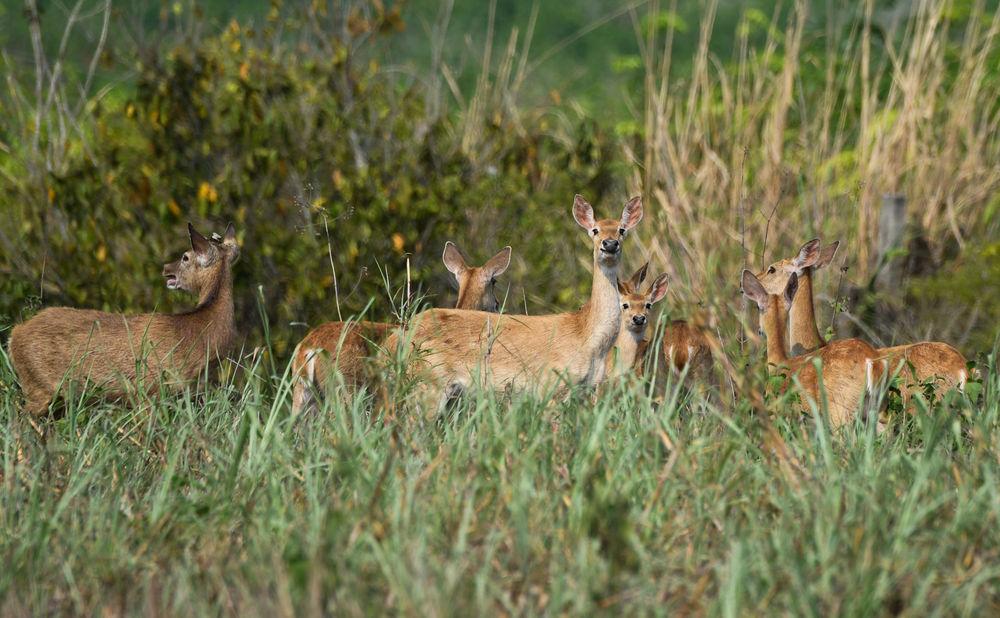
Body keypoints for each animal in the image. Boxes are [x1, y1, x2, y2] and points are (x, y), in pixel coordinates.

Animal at [9, 221, 238, 414]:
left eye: (185, 257)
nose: (166, 268)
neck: (194, 336)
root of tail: (14, 335)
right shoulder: (146, 389)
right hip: (39, 386)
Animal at [386, 192, 644, 404]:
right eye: (595, 230)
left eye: (622, 230)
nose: (609, 244)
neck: (587, 336)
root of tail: (391, 343)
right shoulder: (550, 386)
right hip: (429, 382)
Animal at [736, 270, 884, 428]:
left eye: (758, 308)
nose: (759, 331)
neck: (779, 363)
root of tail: (870, 359)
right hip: (879, 409)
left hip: (840, 408)